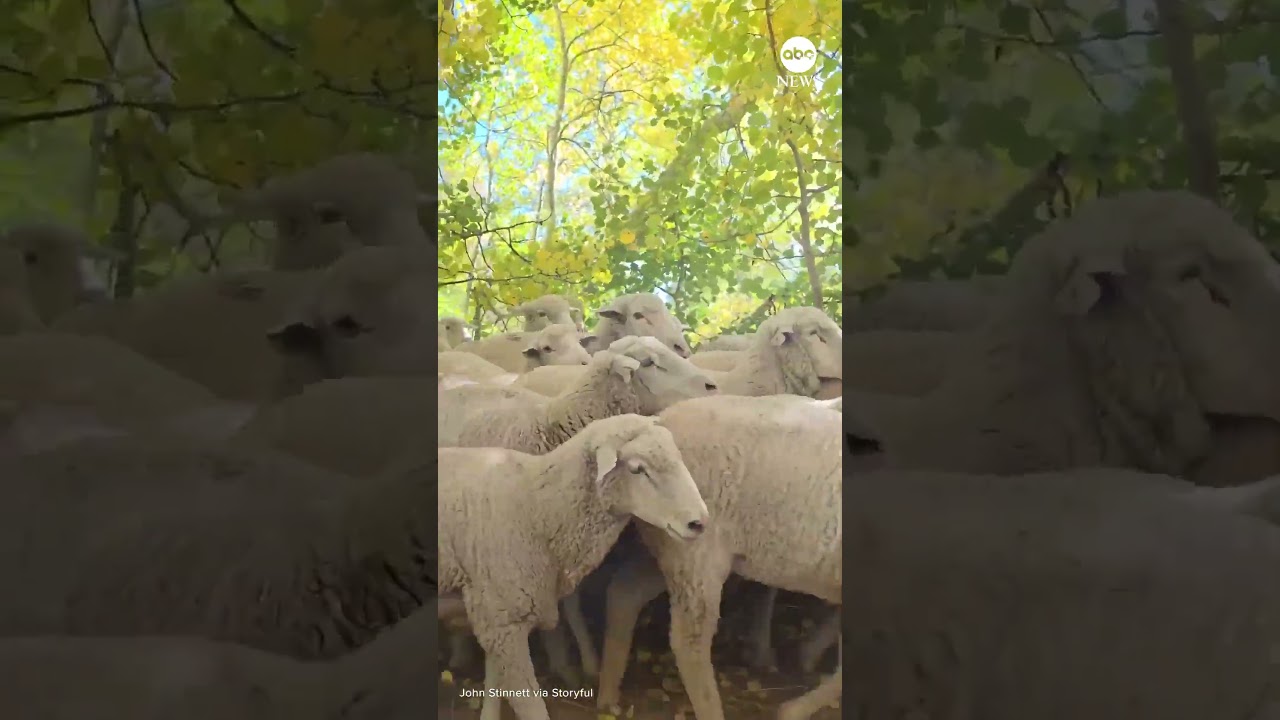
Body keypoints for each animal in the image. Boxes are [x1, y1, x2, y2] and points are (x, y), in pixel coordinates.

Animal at [438, 413, 710, 720]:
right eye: (638, 469)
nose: (698, 522)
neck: (535, 507)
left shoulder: (495, 612)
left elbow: (495, 680)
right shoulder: (503, 617)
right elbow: (529, 704)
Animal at [595, 395, 842, 720]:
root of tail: (659, 421)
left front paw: (808, 661)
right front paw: (794, 708)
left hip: (674, 544)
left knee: (624, 592)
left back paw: (608, 694)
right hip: (697, 553)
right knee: (689, 640)